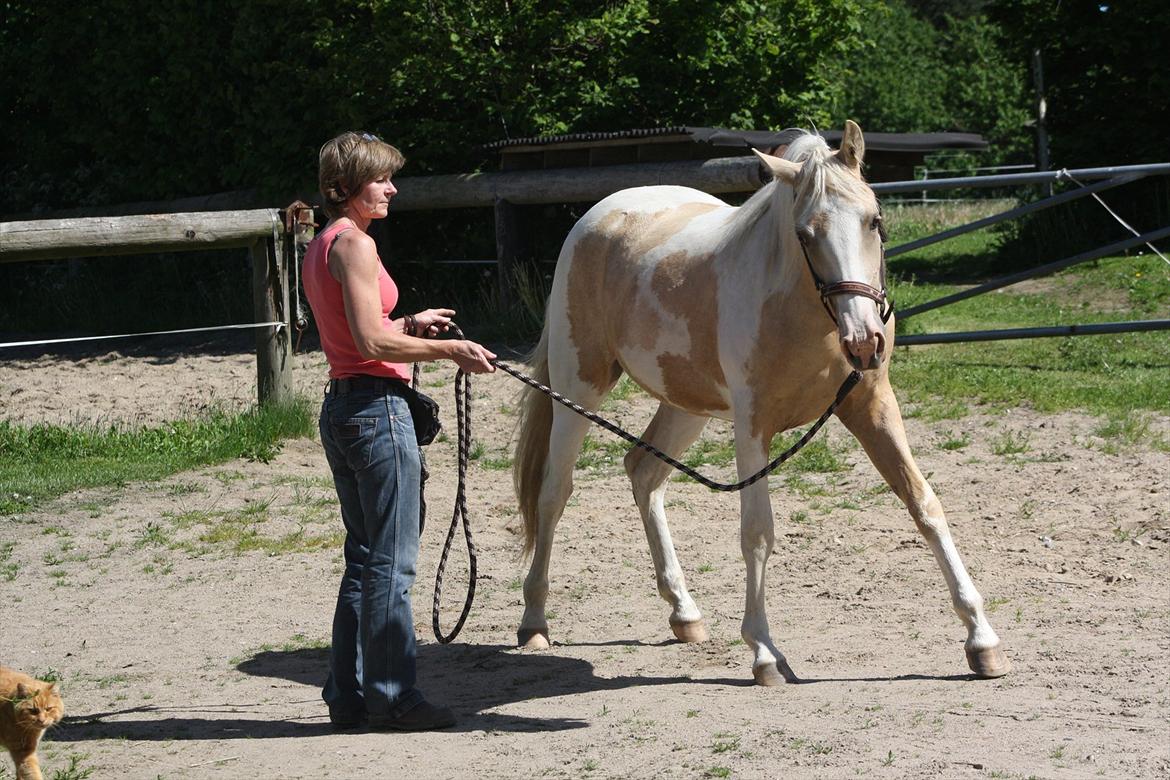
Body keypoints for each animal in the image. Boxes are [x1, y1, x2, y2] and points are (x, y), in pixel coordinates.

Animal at [510, 119, 1006, 687]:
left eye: (875, 221)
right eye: (805, 234)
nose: (864, 342)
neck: (807, 318)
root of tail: (598, 216)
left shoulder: (874, 408)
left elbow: (924, 505)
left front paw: (982, 639)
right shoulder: (752, 427)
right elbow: (758, 532)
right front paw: (765, 652)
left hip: (686, 405)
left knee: (643, 472)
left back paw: (684, 612)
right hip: (578, 388)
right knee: (554, 492)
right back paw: (534, 621)